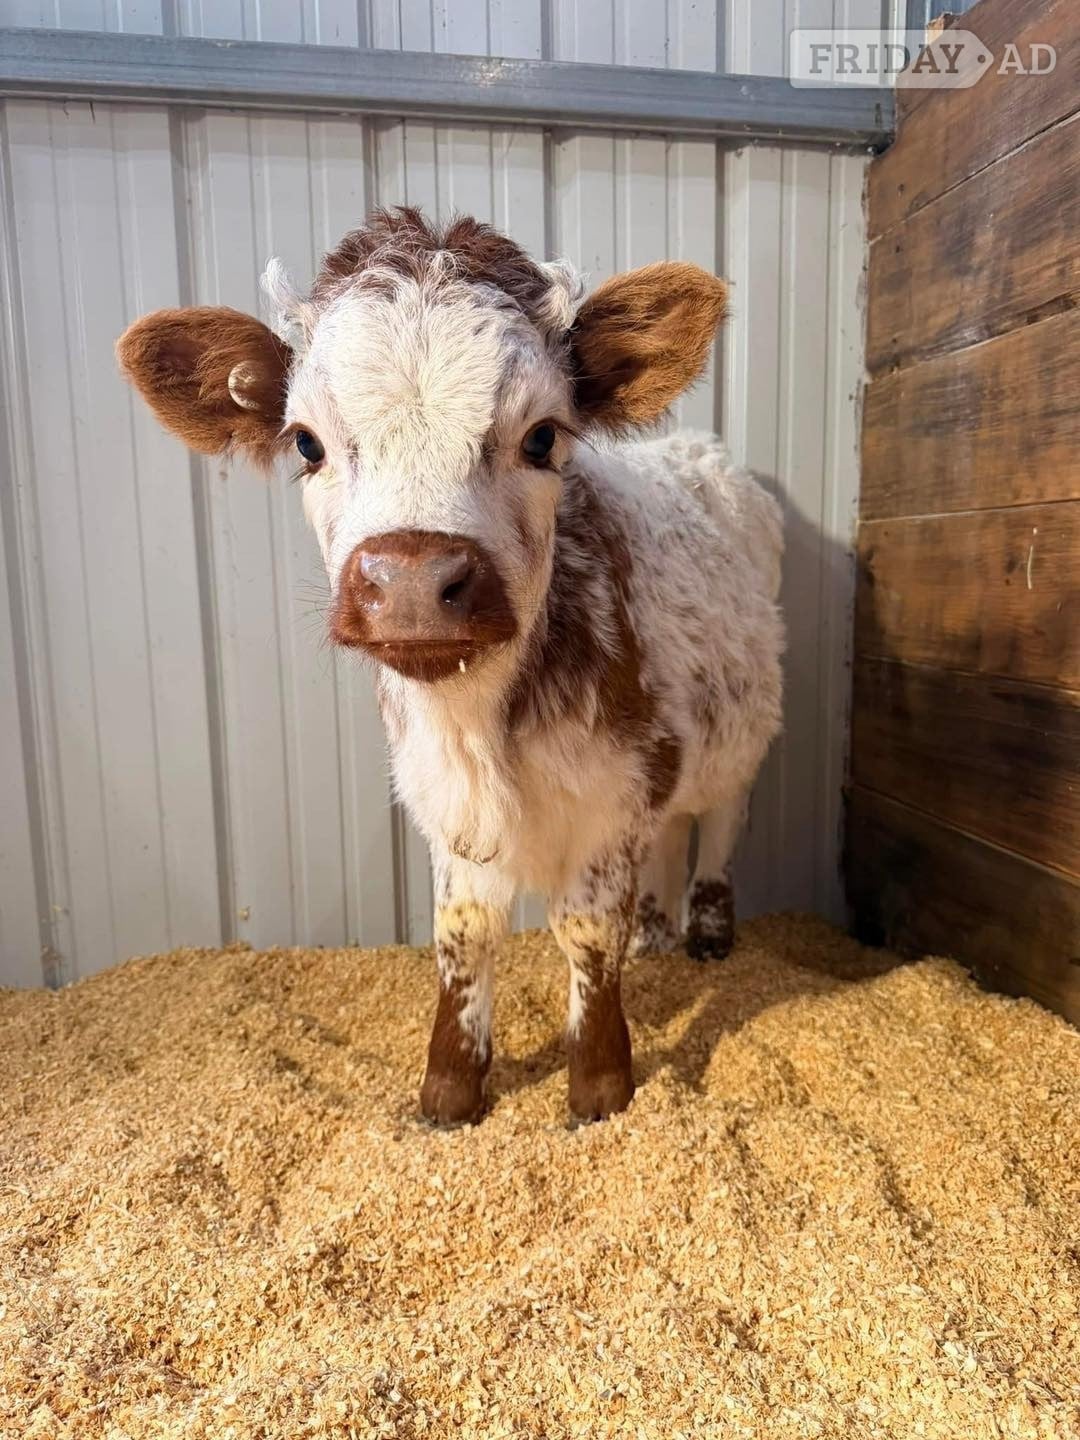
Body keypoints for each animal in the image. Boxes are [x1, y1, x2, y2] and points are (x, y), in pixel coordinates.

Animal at [117, 207, 784, 1128]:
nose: (410, 582)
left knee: (717, 825)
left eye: (542, 437)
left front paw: (600, 1087)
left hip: (740, 736)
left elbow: (587, 934)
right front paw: (449, 1089)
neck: (476, 728)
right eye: (307, 443)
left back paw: (710, 935)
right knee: (671, 833)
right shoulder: (443, 800)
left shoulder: (612, 794)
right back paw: (656, 936)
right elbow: (463, 932)